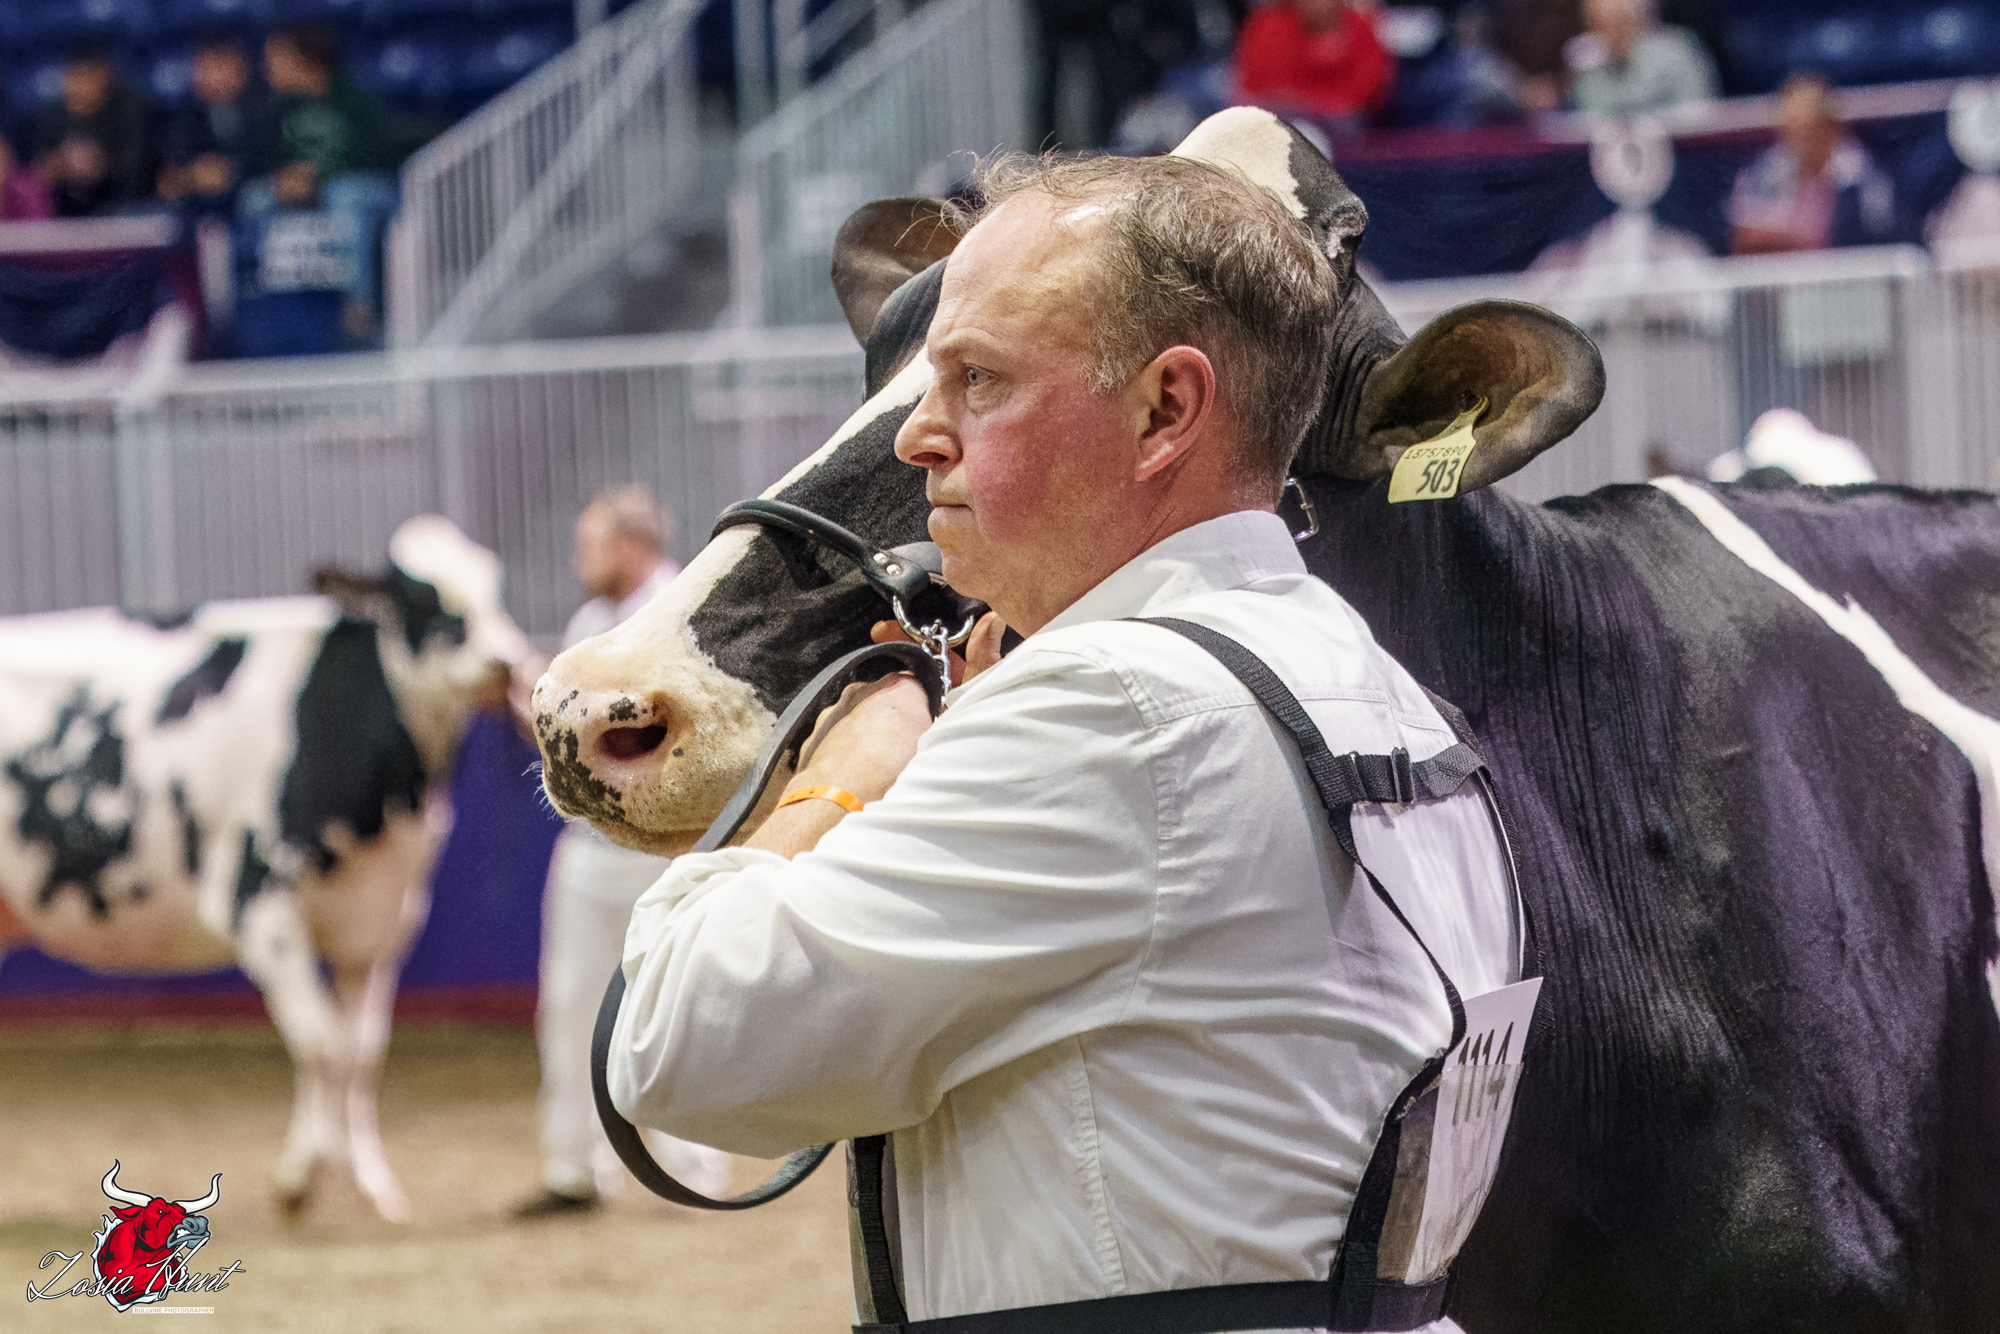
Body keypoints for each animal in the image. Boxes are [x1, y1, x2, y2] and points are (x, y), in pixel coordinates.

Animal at [0, 516, 530, 1221]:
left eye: (495, 588)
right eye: (418, 597)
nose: (507, 662)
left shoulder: (383, 920)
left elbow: (361, 1053)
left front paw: (373, 1185)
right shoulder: (257, 903)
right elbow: (319, 1042)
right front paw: (300, 1178)